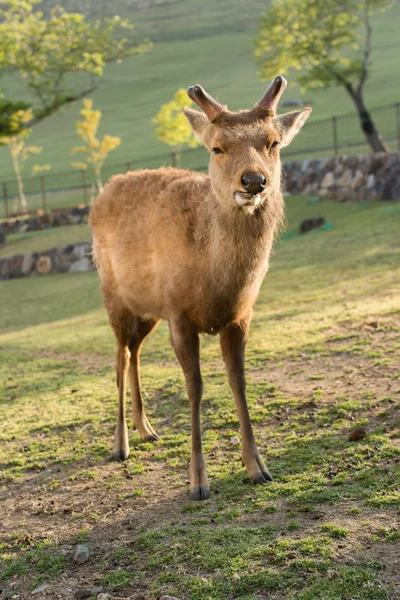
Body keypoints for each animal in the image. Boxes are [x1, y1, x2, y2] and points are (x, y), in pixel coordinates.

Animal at [90, 76, 312, 502]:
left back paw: (147, 429)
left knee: (135, 352)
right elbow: (195, 388)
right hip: (113, 296)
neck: (218, 283)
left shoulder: (240, 316)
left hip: (148, 309)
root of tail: (103, 191)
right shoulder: (178, 313)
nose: (254, 180)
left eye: (273, 142)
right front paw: (197, 482)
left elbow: (238, 381)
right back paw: (120, 444)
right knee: (120, 358)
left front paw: (258, 467)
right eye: (216, 147)